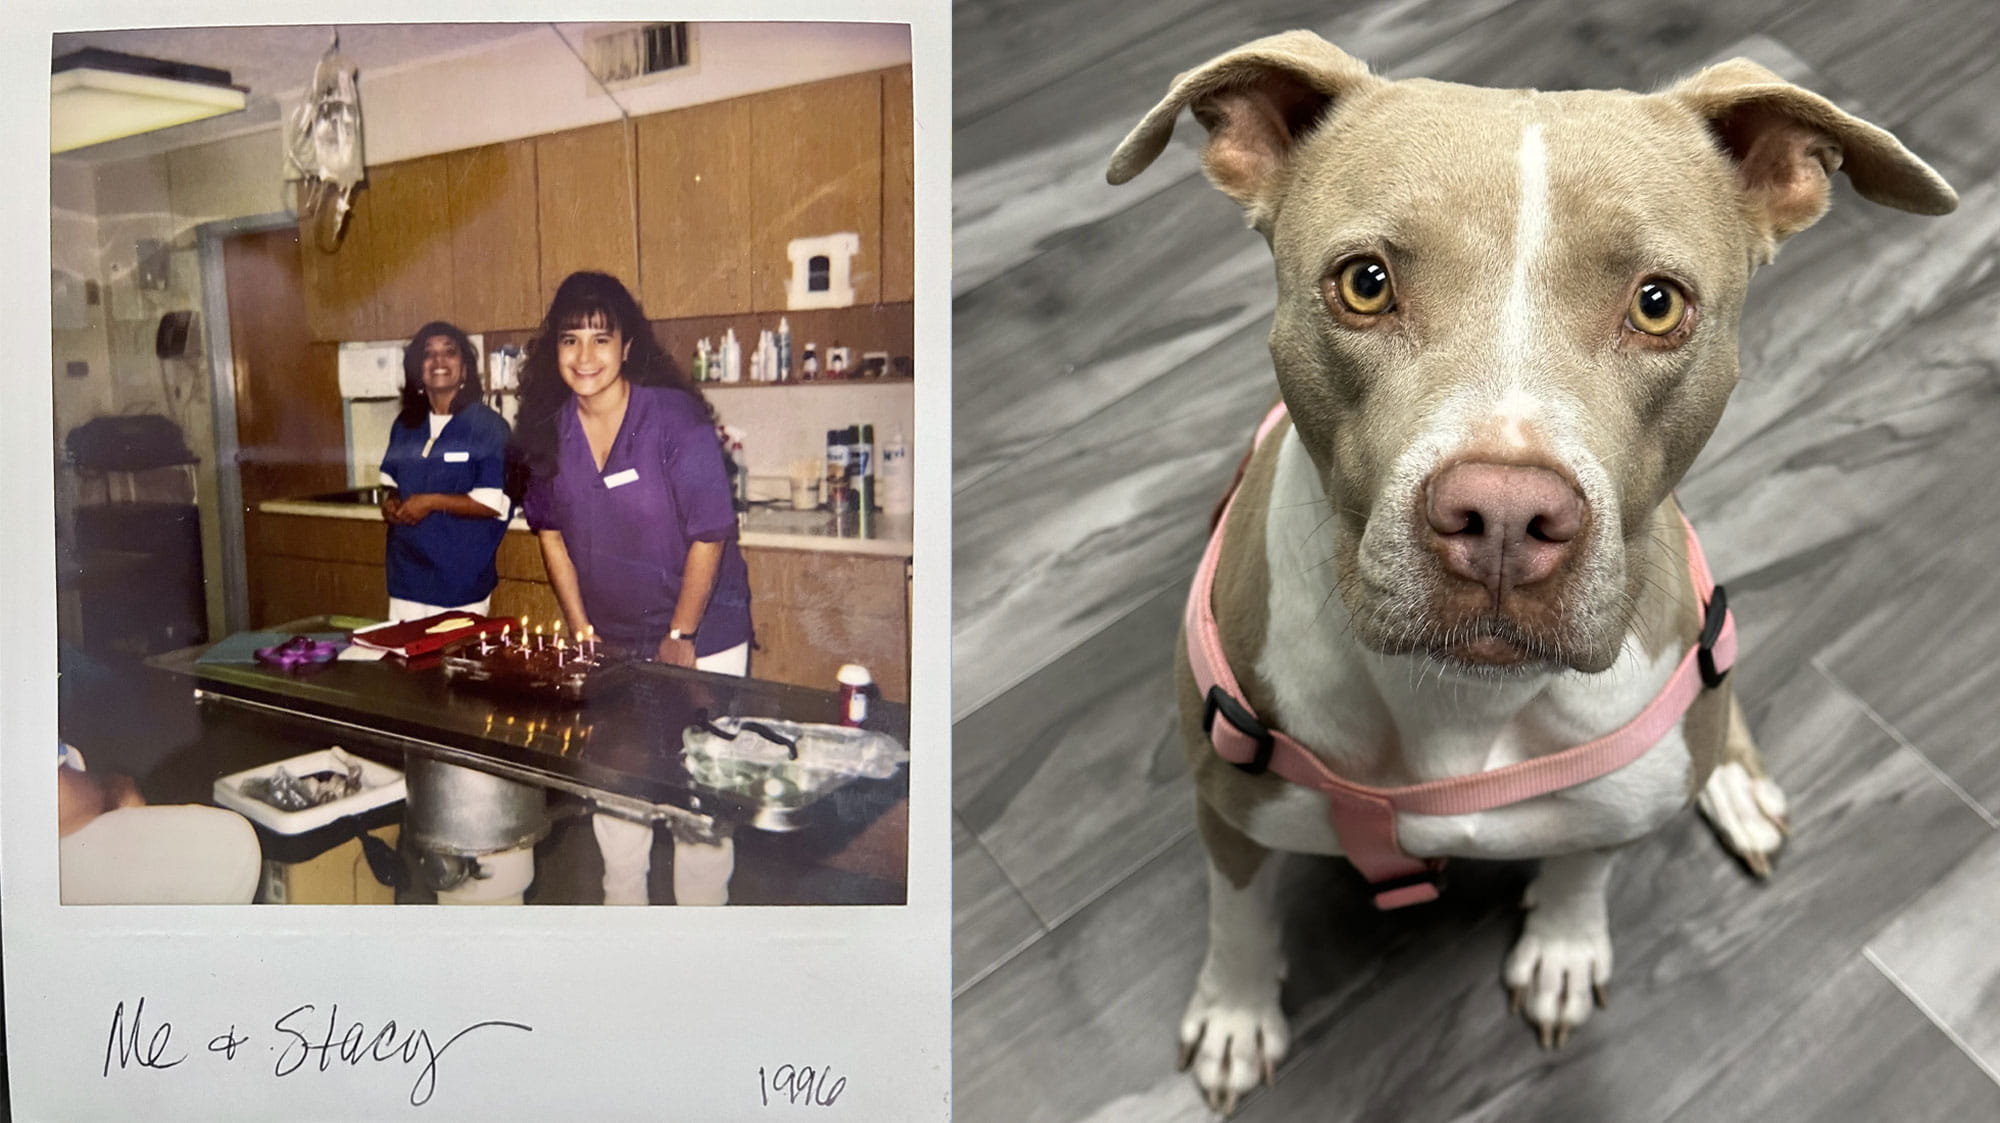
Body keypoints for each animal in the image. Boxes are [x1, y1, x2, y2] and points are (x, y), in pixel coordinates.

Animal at [1104, 28, 1960, 1111]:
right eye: (1364, 282)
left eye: (1657, 304)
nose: (1505, 517)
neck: (1465, 707)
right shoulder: (1232, 812)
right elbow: (1240, 918)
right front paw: (1234, 1013)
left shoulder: (1611, 800)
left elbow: (1584, 866)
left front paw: (1562, 945)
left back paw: (1731, 780)